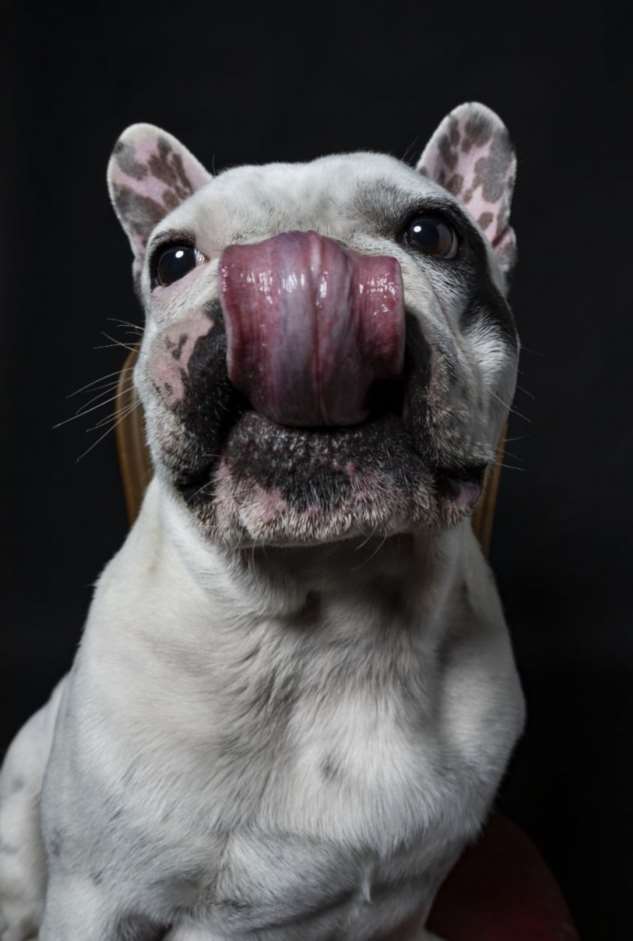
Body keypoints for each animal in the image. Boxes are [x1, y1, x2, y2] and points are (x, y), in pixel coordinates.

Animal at [0, 102, 525, 940]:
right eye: (172, 258)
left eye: (432, 234)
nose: (297, 255)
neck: (338, 620)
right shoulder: (94, 898)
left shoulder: (407, 904)